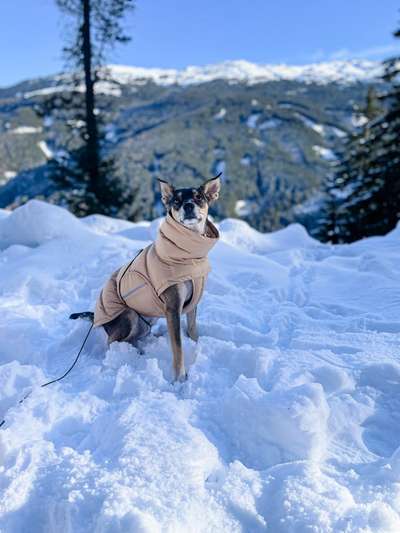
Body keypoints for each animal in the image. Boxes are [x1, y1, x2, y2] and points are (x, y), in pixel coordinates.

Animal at [72, 172, 222, 380]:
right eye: (176, 201)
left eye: (199, 197)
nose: (188, 205)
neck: (188, 255)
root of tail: (97, 317)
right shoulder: (173, 306)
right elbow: (177, 347)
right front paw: (179, 379)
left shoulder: (192, 303)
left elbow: (192, 331)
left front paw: (195, 347)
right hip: (128, 315)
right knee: (114, 342)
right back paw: (131, 354)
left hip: (148, 320)